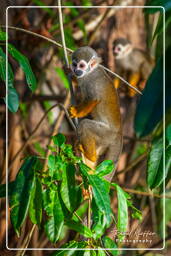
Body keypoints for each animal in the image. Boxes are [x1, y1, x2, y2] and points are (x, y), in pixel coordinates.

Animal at [69, 46, 122, 182]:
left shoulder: (92, 83)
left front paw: (76, 112)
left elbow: (93, 99)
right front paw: (73, 77)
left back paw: (90, 156)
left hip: (106, 134)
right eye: (74, 64)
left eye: (82, 65)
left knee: (85, 125)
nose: (76, 71)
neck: (89, 73)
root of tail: (119, 135)